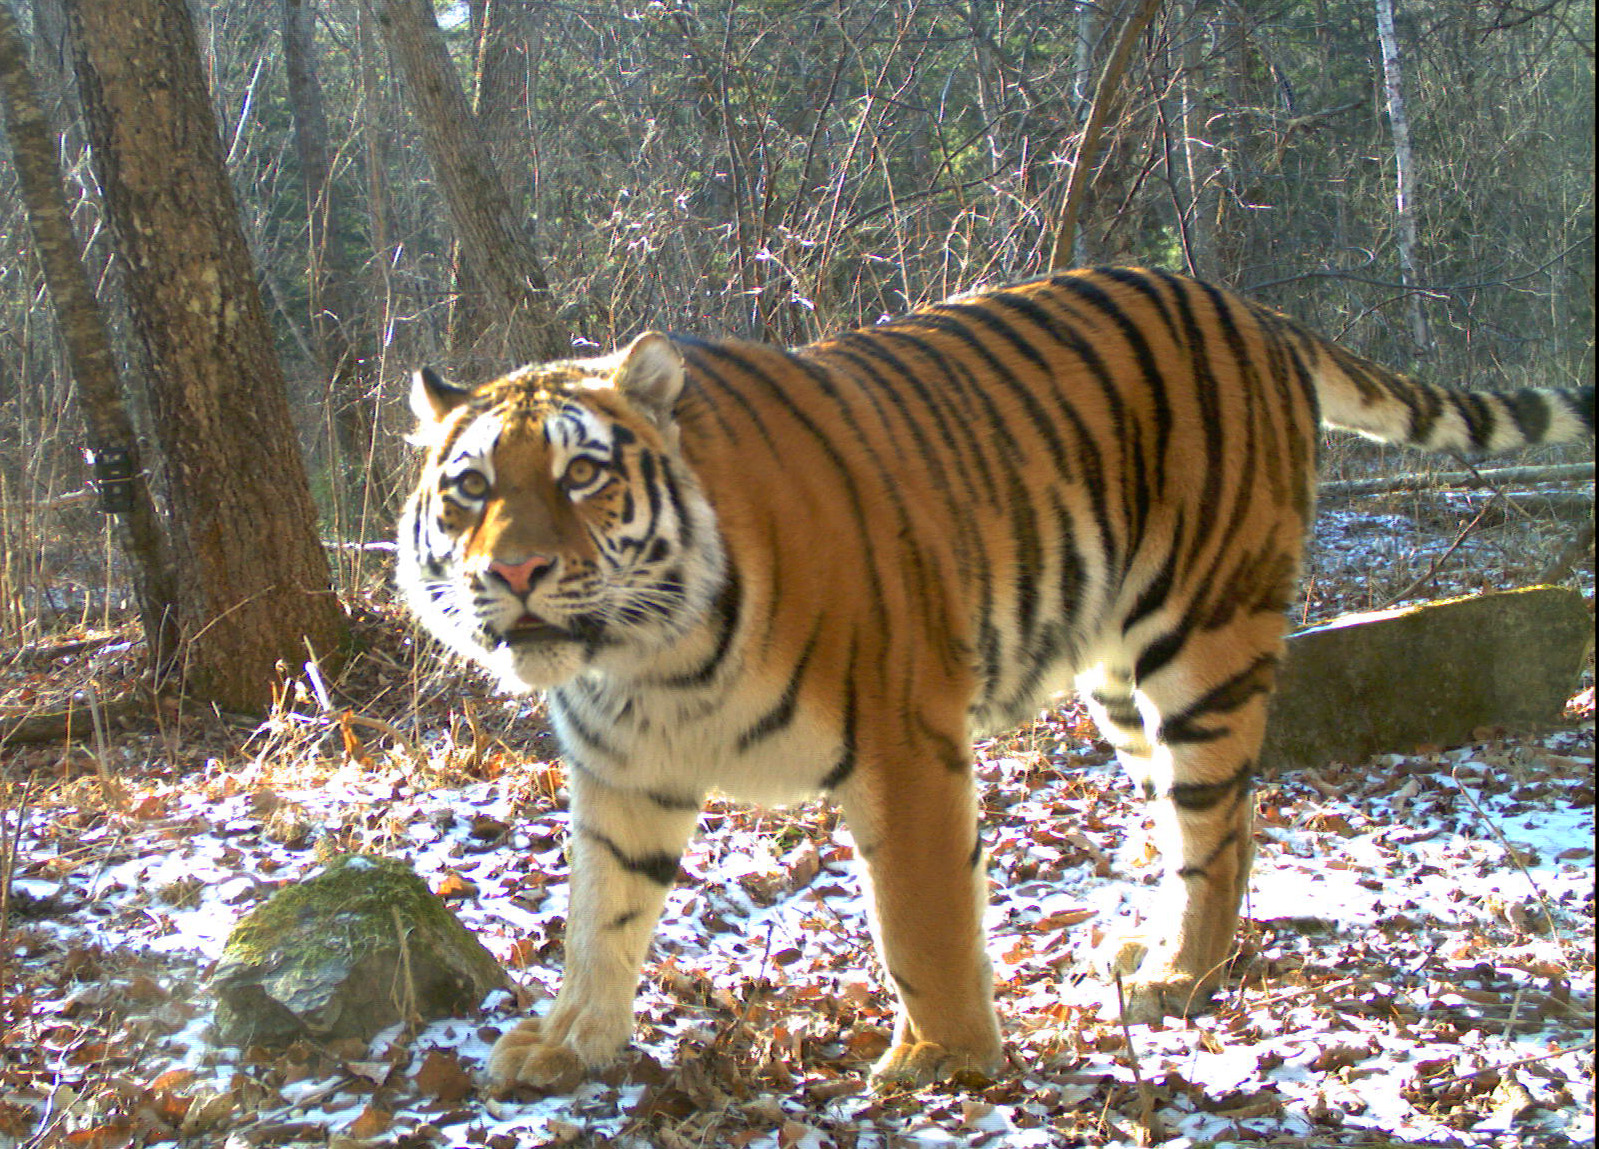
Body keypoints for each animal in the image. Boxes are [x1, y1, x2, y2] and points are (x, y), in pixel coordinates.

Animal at [393, 265, 1592, 1093]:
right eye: (470, 488)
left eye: (582, 475)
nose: (515, 571)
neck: (646, 661)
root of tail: (1254, 309)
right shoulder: (623, 773)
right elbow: (600, 915)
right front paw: (568, 1044)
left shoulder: (902, 736)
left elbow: (920, 918)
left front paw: (945, 1060)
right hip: (1118, 675)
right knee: (1208, 818)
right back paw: (1153, 947)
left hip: (1203, 638)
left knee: (1219, 817)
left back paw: (1178, 975)